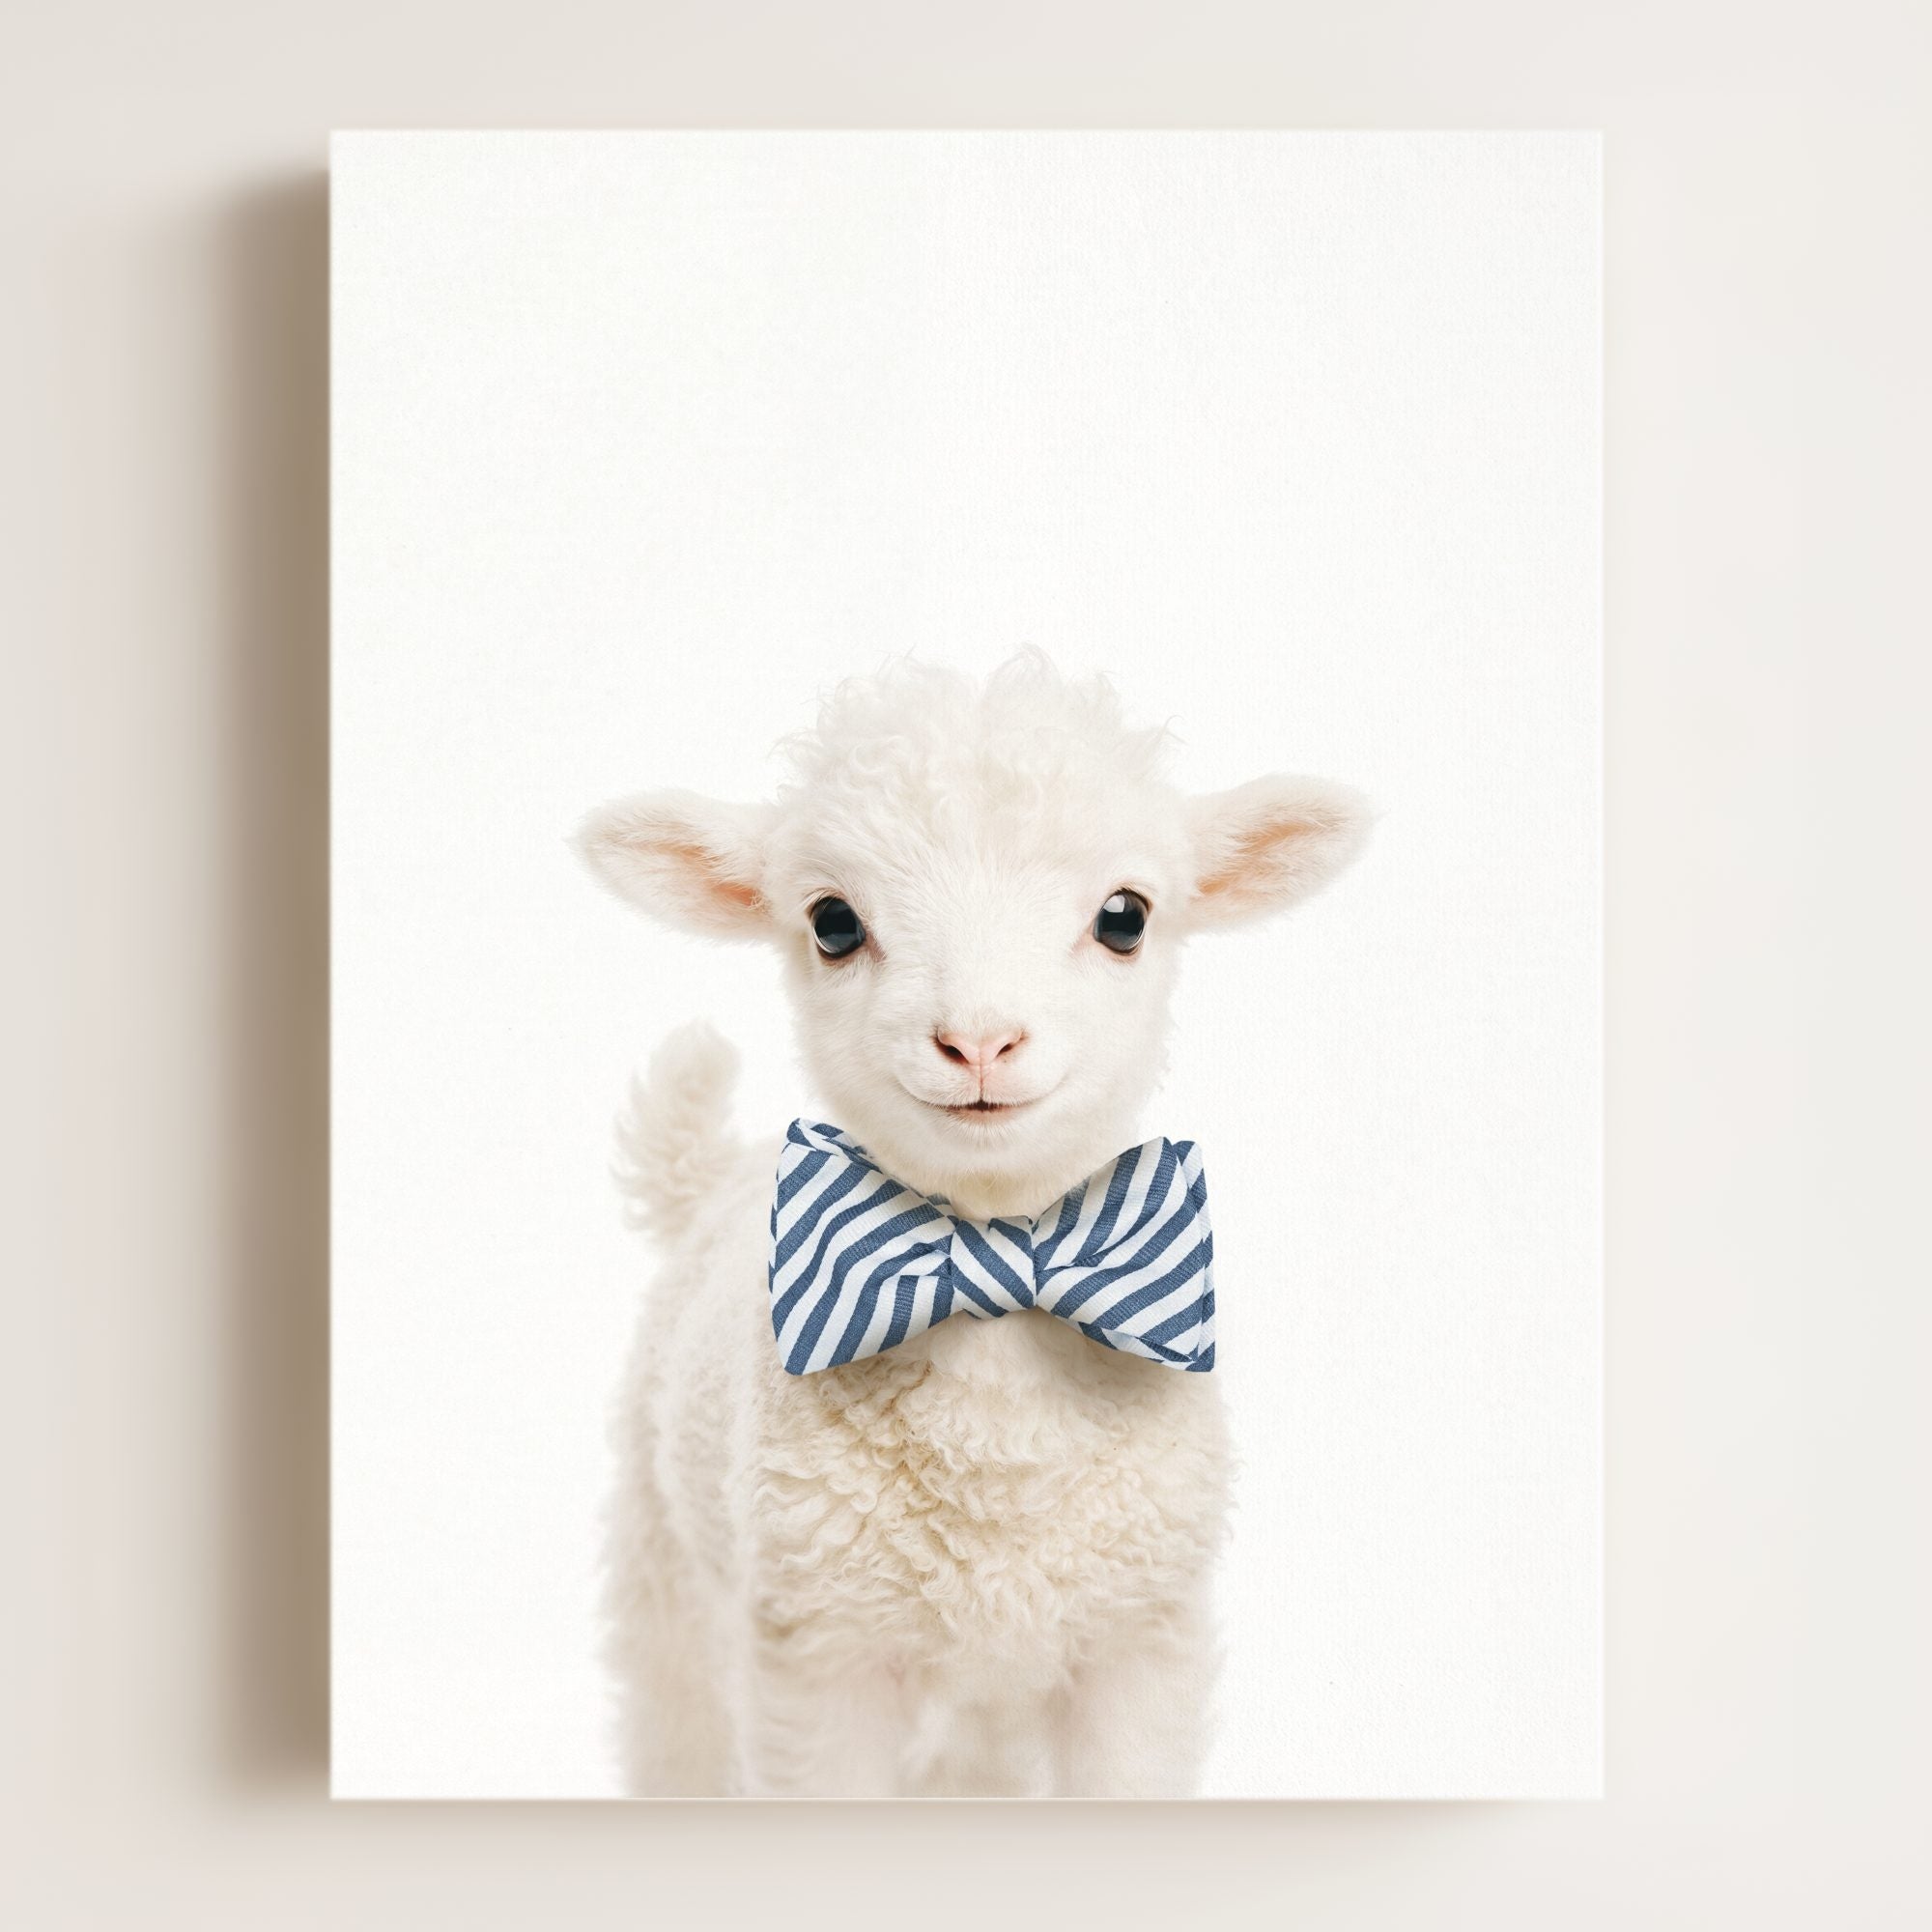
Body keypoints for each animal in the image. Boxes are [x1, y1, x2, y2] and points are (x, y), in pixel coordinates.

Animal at [576, 650, 1369, 1797]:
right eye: (832, 922)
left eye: (1125, 916)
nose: (980, 1039)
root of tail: (712, 1175)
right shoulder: (818, 1655)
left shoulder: (1140, 1642)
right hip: (669, 1577)